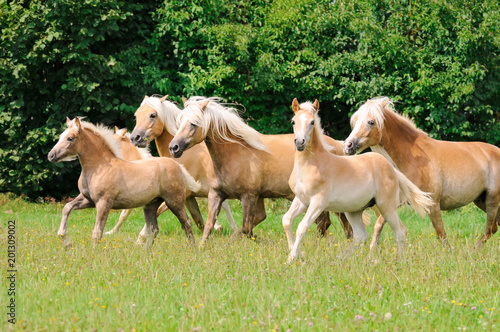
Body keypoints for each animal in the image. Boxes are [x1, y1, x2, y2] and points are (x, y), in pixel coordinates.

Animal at [47, 118, 200, 248]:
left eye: (70, 138)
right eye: (60, 136)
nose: (51, 155)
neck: (100, 168)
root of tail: (178, 166)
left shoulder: (103, 203)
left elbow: (97, 232)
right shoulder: (87, 199)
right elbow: (67, 207)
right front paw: (66, 241)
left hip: (174, 201)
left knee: (187, 223)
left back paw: (192, 248)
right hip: (151, 205)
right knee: (154, 229)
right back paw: (145, 251)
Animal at [129, 94, 238, 233]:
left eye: (152, 115)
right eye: (136, 115)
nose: (135, 138)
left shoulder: (181, 195)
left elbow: (157, 212)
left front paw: (141, 236)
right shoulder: (189, 198)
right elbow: (198, 221)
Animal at [168, 96, 352, 246]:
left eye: (193, 123)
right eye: (179, 122)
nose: (173, 147)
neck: (235, 153)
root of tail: (336, 145)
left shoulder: (249, 197)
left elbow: (246, 228)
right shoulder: (216, 194)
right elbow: (209, 226)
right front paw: (201, 249)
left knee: (332, 223)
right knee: (331, 223)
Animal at [282, 98, 434, 262]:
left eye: (311, 122)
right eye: (293, 121)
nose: (300, 142)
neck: (312, 164)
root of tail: (391, 168)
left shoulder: (318, 202)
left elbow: (302, 227)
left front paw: (291, 258)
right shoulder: (302, 200)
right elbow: (286, 220)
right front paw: (294, 252)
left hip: (386, 206)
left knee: (400, 231)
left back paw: (399, 260)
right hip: (353, 210)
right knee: (360, 236)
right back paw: (341, 259)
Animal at [344, 96, 500, 246]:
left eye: (371, 122)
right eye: (355, 121)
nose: (347, 146)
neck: (412, 158)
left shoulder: (433, 204)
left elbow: (441, 234)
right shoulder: (396, 201)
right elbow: (378, 225)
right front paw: (372, 251)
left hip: (492, 199)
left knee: (490, 228)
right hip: (481, 200)